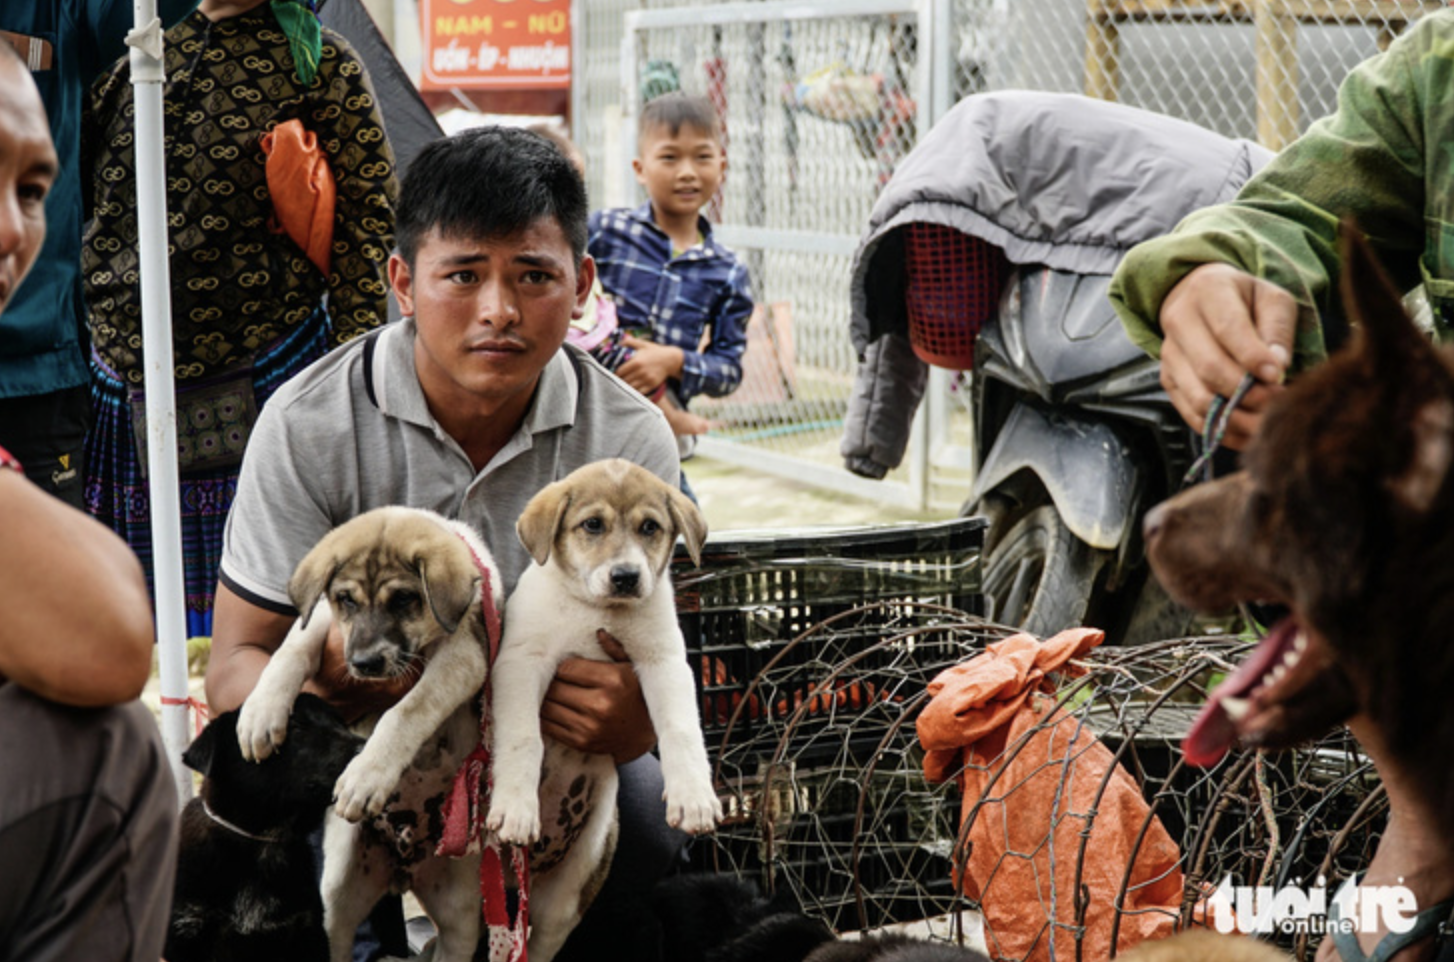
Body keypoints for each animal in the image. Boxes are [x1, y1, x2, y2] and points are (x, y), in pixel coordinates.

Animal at [166, 694, 363, 962]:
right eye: (295, 728)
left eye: (340, 723)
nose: (367, 747)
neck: (263, 841)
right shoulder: (185, 931)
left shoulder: (308, 933)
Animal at [234, 508, 505, 959]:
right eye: (347, 600)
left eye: (403, 599)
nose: (363, 664)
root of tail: (404, 868)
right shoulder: (322, 621)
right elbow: (291, 648)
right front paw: (260, 712)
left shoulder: (464, 656)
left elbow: (407, 710)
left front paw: (366, 776)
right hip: (336, 899)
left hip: (461, 915)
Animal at [488, 459, 721, 962]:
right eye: (592, 525)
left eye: (650, 527)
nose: (626, 576)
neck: (597, 610)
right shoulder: (520, 663)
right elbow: (522, 738)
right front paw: (516, 806)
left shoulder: (664, 662)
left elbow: (681, 731)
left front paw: (694, 797)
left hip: (572, 888)